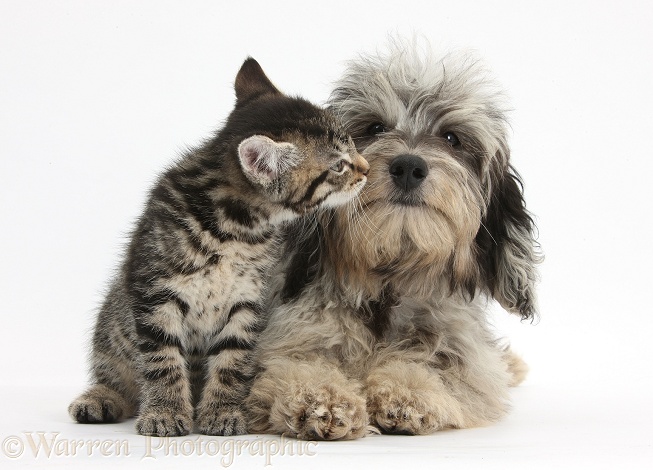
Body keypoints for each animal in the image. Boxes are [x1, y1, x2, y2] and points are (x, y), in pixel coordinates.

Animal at [68, 57, 370, 436]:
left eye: (353, 145)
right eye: (340, 165)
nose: (368, 168)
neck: (235, 227)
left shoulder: (249, 300)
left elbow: (232, 359)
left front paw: (222, 412)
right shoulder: (154, 292)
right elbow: (162, 357)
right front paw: (165, 413)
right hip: (113, 322)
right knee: (115, 372)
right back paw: (100, 398)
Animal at [244, 41, 540, 440]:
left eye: (452, 138)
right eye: (374, 127)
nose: (409, 167)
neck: (388, 281)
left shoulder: (462, 354)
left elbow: (439, 368)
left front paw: (408, 392)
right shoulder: (292, 335)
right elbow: (294, 366)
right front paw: (322, 398)